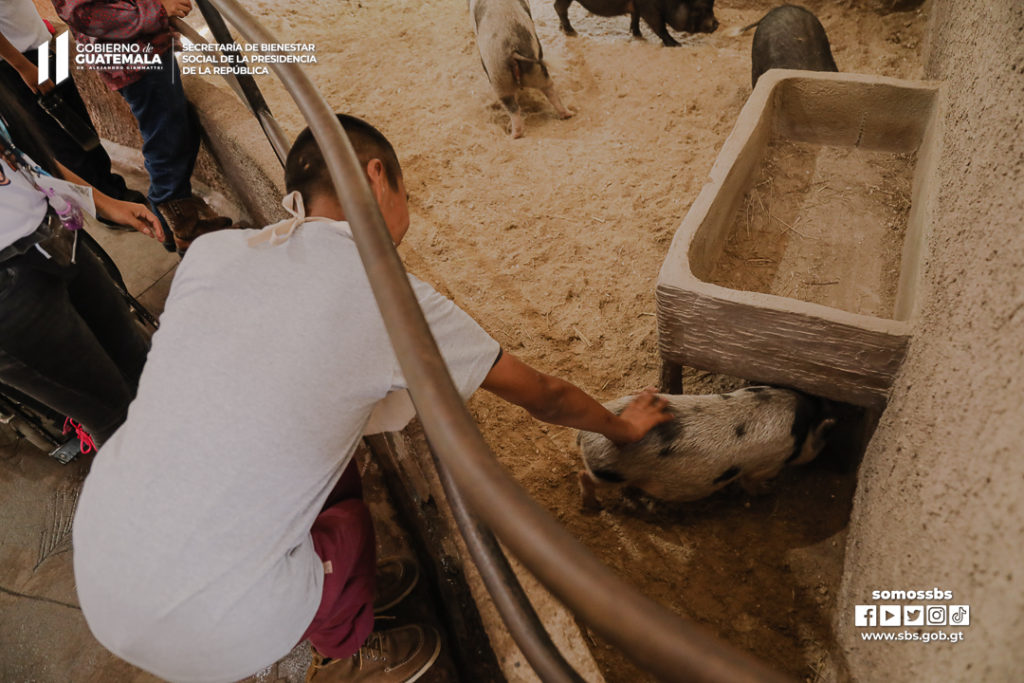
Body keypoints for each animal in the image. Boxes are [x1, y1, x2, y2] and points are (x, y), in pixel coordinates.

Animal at [468, 0, 573, 137]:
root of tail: (512, 48)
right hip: (531, 72)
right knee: (548, 91)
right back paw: (568, 114)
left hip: (499, 76)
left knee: (514, 108)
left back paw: (513, 135)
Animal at [577, 387, 831, 509]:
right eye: (818, 445)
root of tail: (584, 437)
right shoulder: (768, 464)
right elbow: (751, 483)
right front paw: (769, 490)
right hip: (608, 472)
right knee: (584, 475)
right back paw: (593, 506)